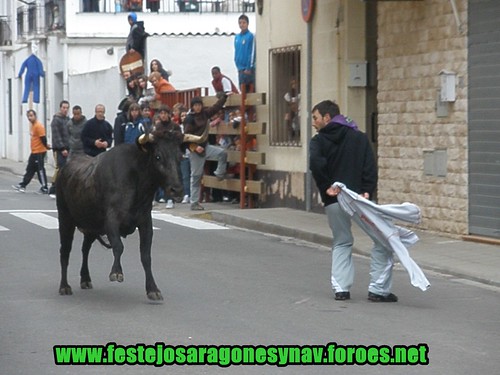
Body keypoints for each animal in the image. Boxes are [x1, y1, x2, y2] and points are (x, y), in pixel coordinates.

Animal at [56, 130, 186, 302]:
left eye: (180, 156)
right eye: (158, 156)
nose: (177, 190)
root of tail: (64, 169)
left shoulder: (145, 222)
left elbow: (146, 255)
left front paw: (153, 289)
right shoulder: (111, 221)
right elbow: (119, 246)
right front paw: (116, 272)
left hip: (91, 226)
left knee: (85, 248)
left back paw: (85, 279)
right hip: (65, 219)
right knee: (65, 251)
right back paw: (64, 286)